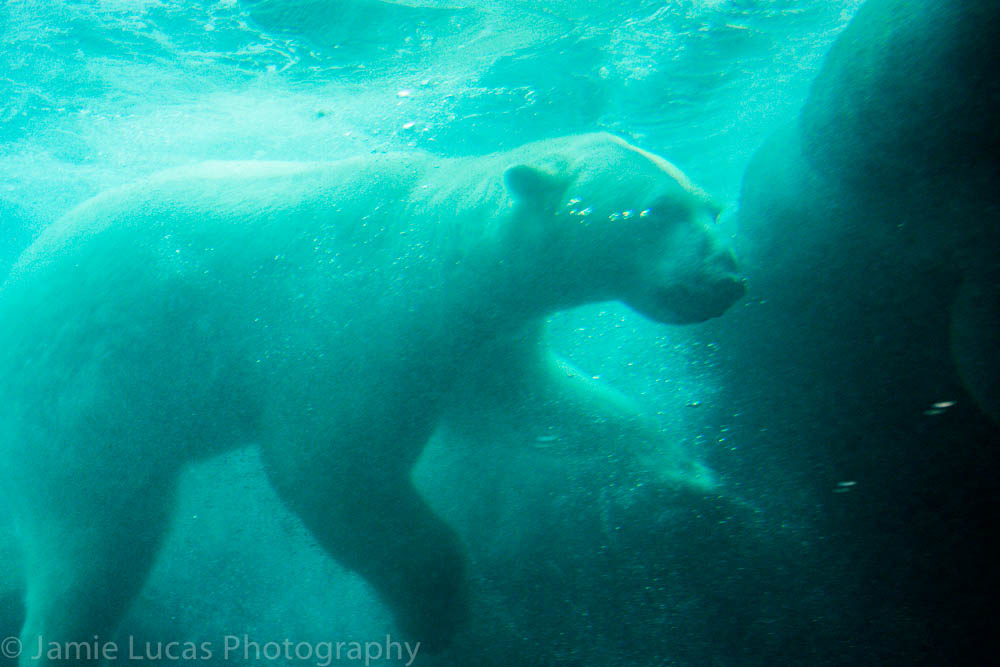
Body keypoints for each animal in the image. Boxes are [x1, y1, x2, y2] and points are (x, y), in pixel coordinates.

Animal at [0, 132, 744, 663]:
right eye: (657, 211)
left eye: (711, 205)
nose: (727, 275)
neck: (445, 233)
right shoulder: (361, 316)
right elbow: (329, 465)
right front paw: (437, 613)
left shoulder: (485, 341)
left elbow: (541, 407)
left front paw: (690, 478)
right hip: (84, 405)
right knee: (98, 547)